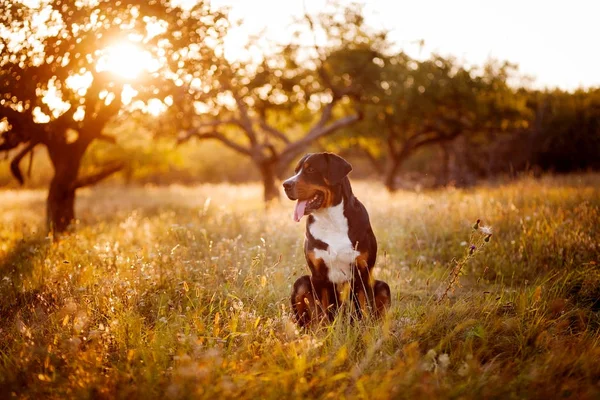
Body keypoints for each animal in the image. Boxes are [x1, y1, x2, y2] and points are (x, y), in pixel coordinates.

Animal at [284, 152, 392, 326]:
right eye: (296, 171)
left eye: (311, 169)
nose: (285, 184)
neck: (330, 219)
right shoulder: (318, 276)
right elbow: (322, 314)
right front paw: (324, 331)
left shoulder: (363, 273)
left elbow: (366, 310)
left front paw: (366, 330)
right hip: (301, 283)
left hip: (383, 286)